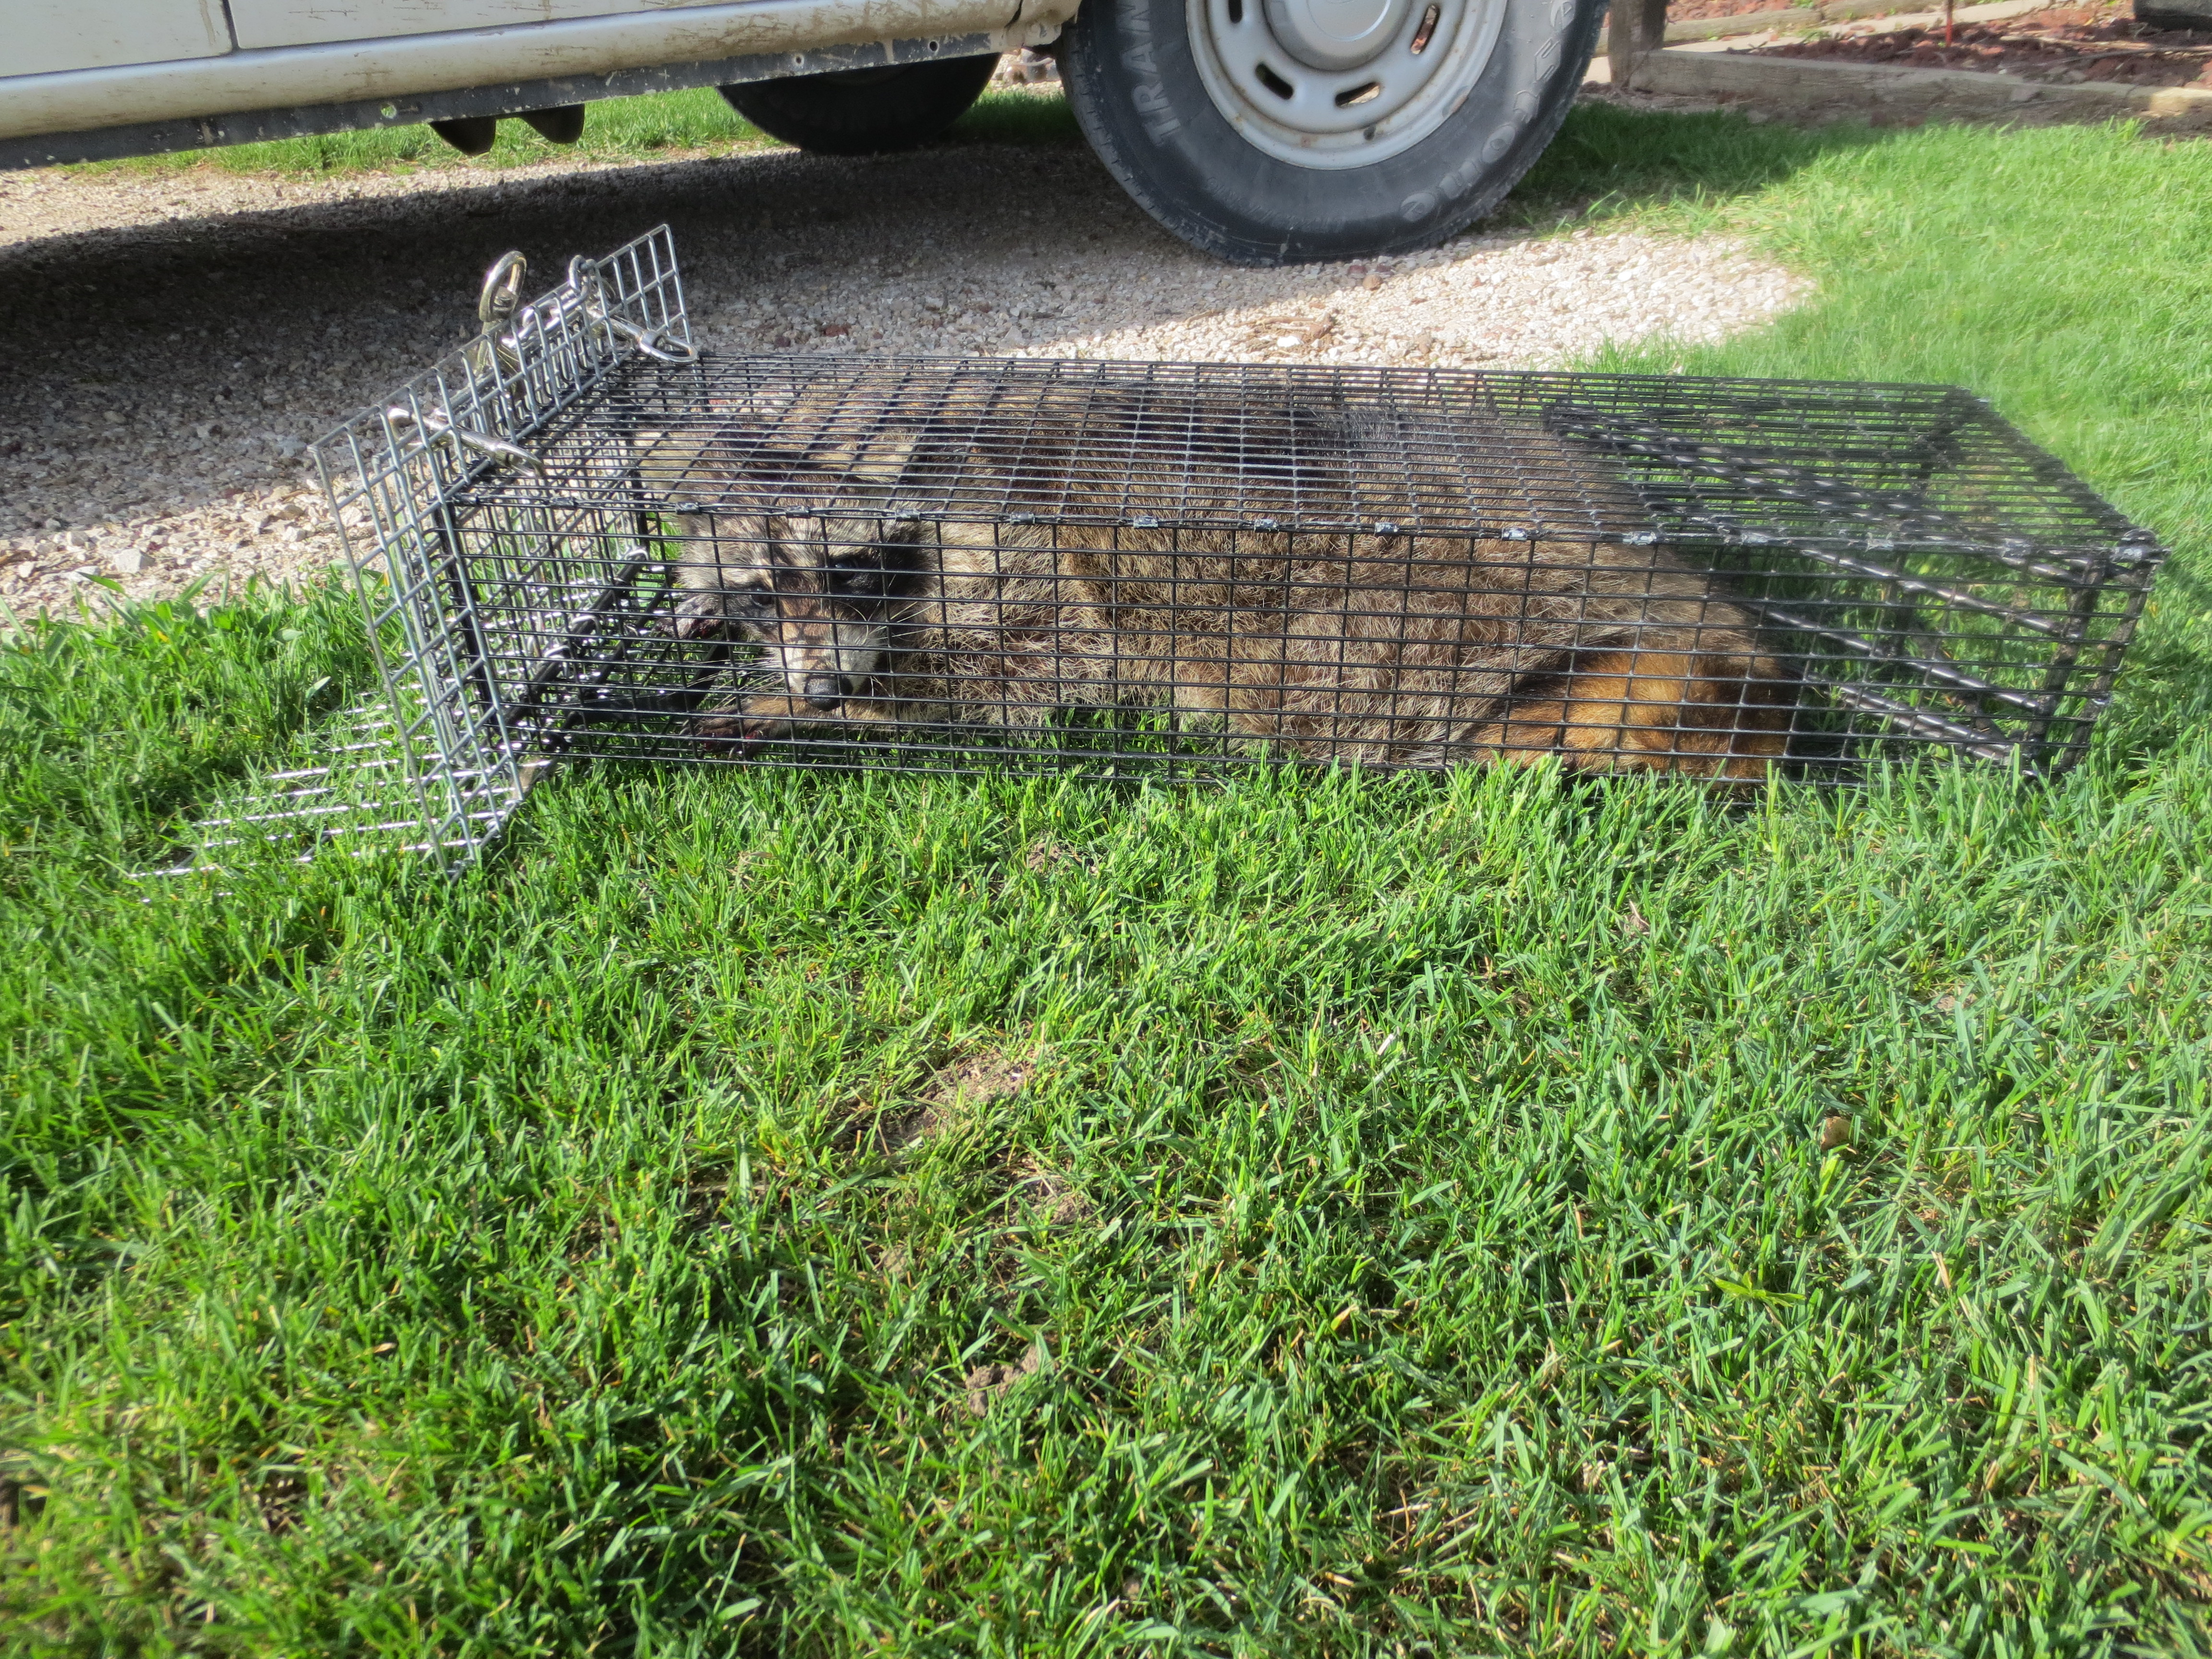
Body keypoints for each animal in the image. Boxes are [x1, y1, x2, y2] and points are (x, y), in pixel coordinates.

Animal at [628, 380, 1796, 783]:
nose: (825, 687)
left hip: (1477, 625)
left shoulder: (1040, 572)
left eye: (847, 569)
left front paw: (807, 706)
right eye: (763, 593)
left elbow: (998, 677)